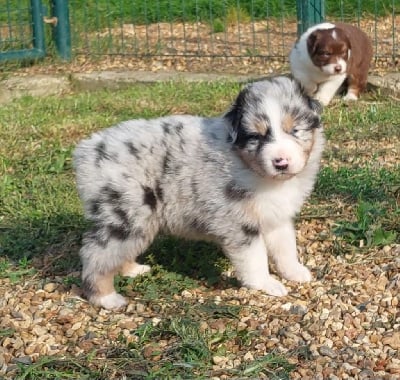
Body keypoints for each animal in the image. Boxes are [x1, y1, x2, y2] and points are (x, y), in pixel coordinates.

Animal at [74, 76, 324, 308]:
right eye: (256, 136)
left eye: (295, 130)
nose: (281, 162)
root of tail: (86, 151)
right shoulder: (238, 224)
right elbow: (255, 258)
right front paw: (267, 284)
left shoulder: (276, 215)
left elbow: (286, 247)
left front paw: (295, 272)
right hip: (125, 216)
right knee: (96, 254)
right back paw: (106, 297)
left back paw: (133, 269)